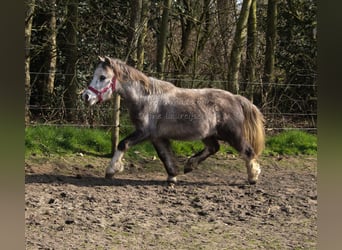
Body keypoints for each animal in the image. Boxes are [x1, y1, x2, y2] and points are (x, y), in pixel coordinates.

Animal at [82, 57, 264, 186]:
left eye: (102, 77)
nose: (86, 96)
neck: (146, 98)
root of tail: (236, 98)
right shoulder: (157, 137)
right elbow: (165, 156)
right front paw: (172, 176)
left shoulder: (144, 132)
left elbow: (122, 144)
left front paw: (111, 170)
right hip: (208, 135)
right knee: (214, 148)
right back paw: (190, 165)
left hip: (233, 135)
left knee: (248, 151)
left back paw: (253, 177)